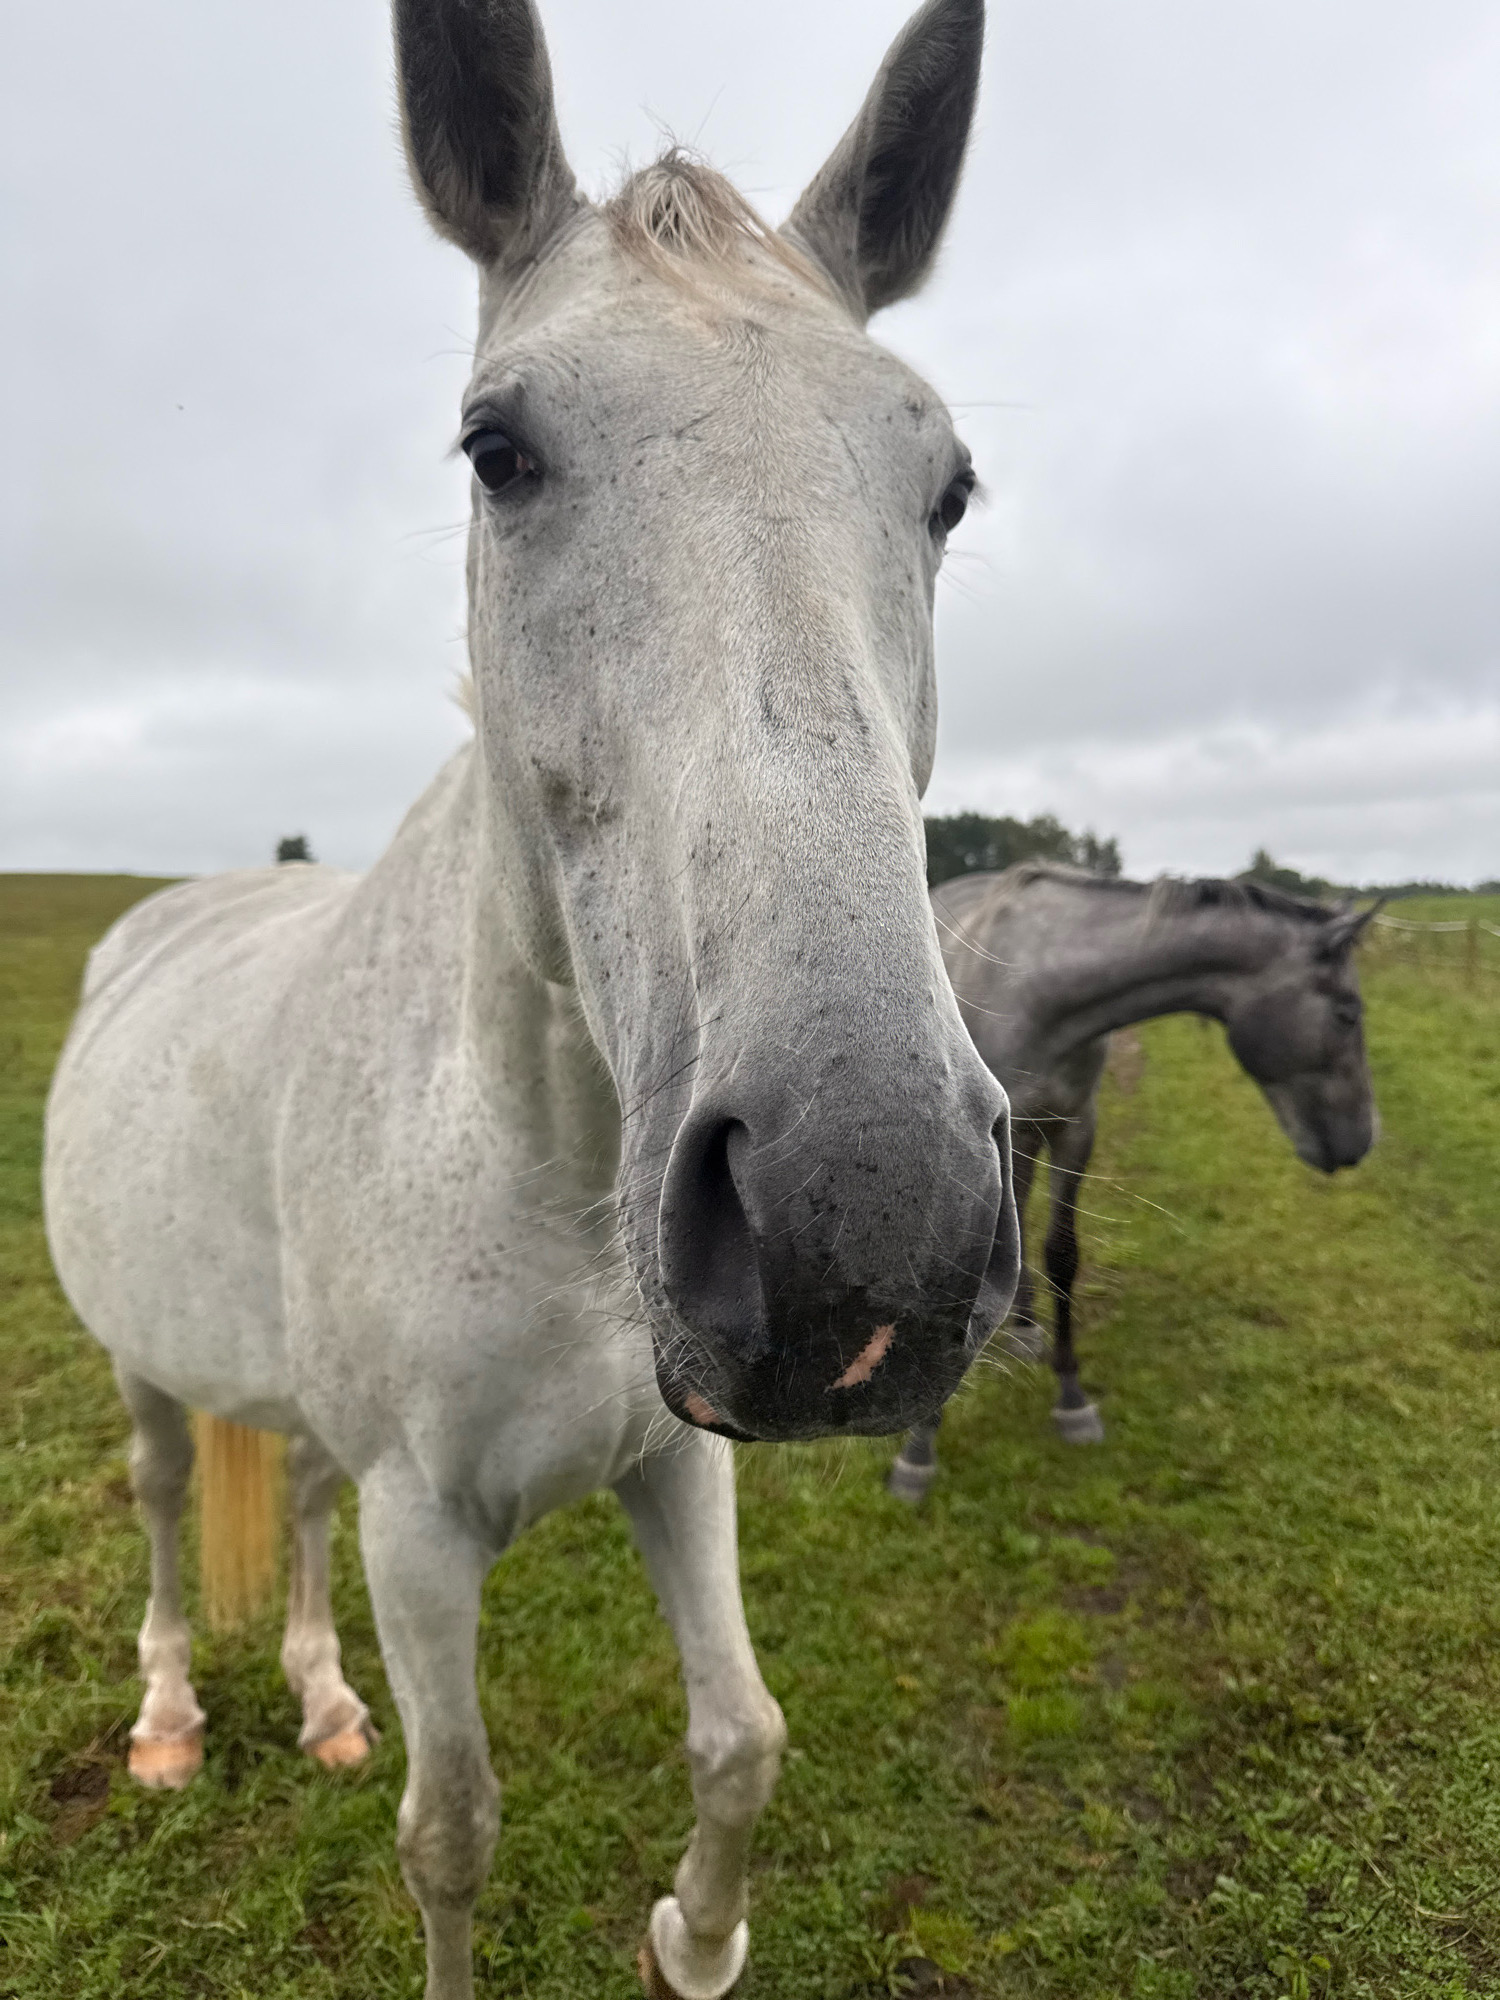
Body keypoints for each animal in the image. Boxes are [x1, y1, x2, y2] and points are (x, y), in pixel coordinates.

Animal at [41, 3, 1020, 1995]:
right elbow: (455, 1833)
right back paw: (172, 1720)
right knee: (173, 1509)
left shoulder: (681, 1462)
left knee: (295, 1501)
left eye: (945, 484)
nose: (867, 1223)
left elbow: (742, 1742)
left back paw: (323, 1704)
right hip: (142, 1365)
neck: (540, 1165)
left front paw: (692, 1940)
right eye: (498, 450)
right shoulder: (428, 1534)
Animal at [887, 864, 1379, 1497]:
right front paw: (918, 1450)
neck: (1036, 987)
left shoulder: (1076, 1127)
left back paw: (1023, 1327)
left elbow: (1063, 1253)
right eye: (1347, 1014)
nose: (1360, 1140)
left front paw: (1072, 1401)